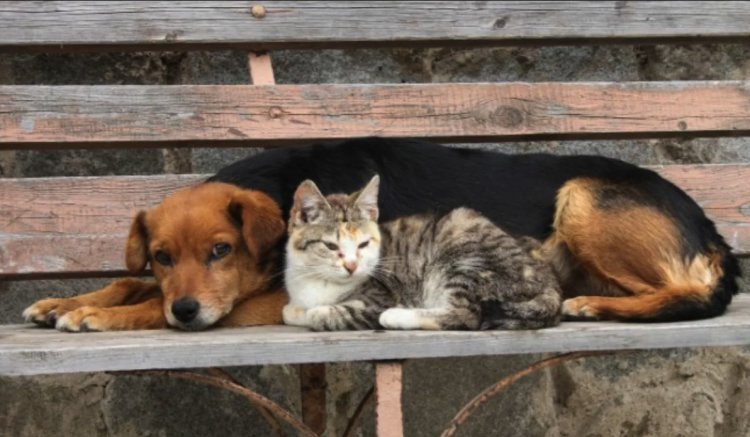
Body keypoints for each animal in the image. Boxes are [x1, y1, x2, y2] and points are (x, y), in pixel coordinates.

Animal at [22, 181, 288, 330]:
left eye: (221, 249)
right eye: (162, 257)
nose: (183, 310)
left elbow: (155, 305)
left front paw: (95, 313)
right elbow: (129, 284)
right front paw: (59, 304)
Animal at [284, 175, 564, 328]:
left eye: (364, 244)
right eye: (331, 246)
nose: (352, 266)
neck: (318, 282)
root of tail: (549, 282)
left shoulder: (379, 297)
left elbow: (321, 314)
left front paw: (314, 312)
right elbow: (289, 311)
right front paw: (297, 310)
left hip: (465, 257)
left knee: (465, 314)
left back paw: (397, 316)